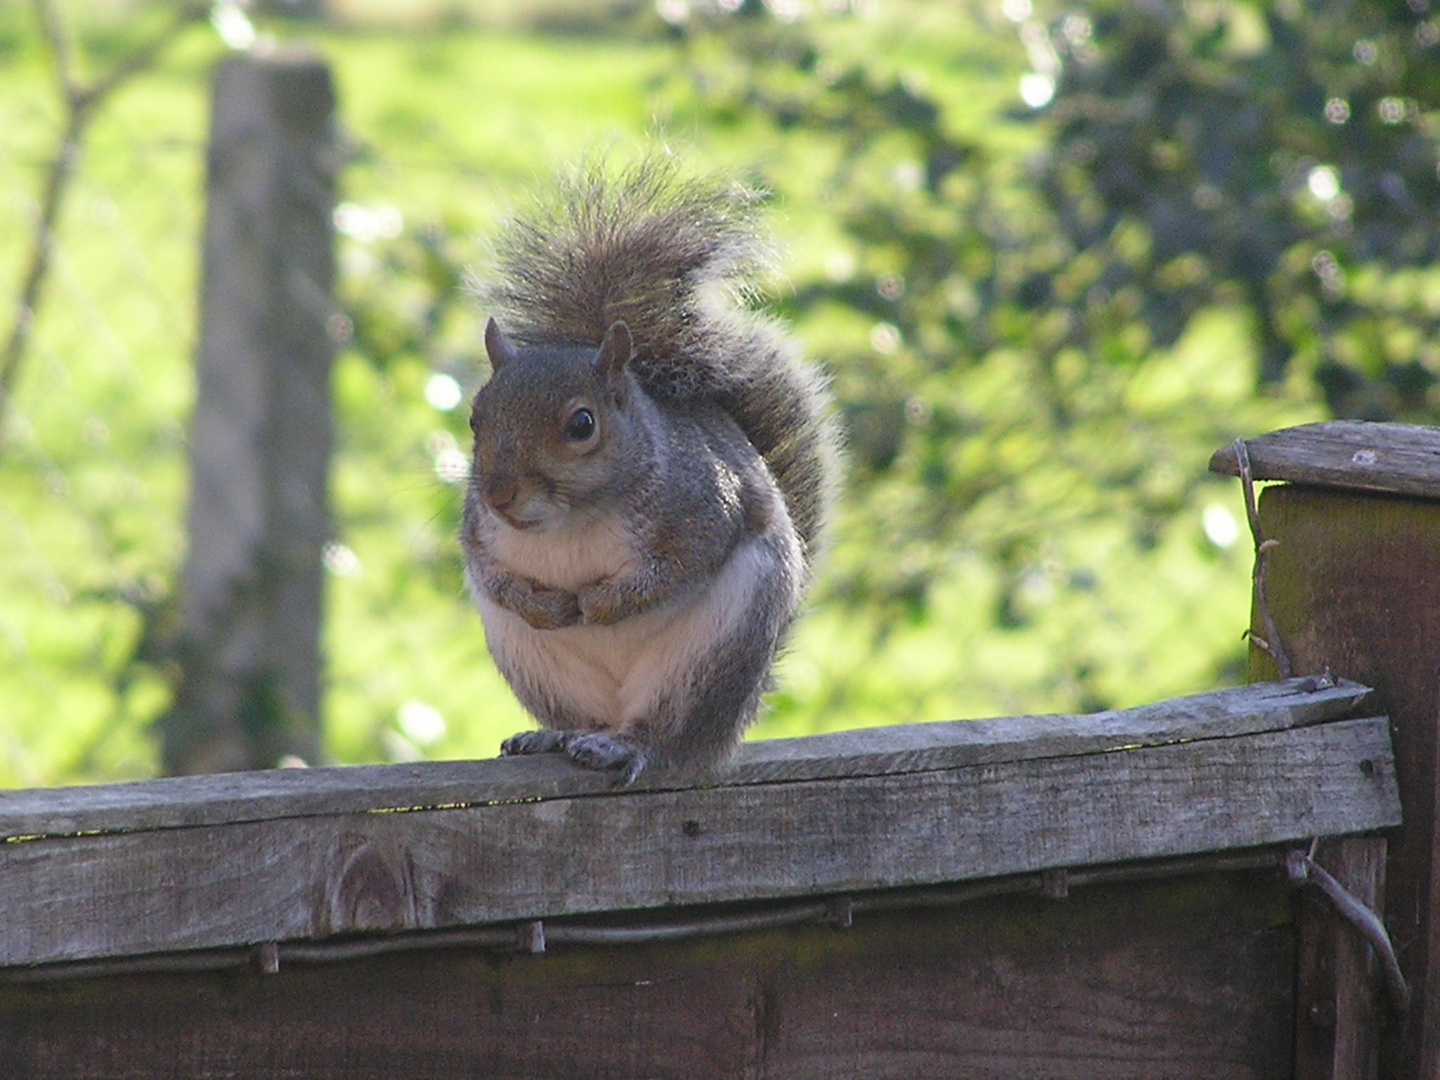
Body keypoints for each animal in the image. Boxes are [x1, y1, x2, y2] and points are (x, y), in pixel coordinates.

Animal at [460, 158, 840, 789]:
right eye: (474, 418)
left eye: (582, 424)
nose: (499, 495)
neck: (570, 520)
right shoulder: (477, 531)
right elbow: (490, 574)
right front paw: (548, 607)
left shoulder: (701, 507)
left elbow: (680, 566)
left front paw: (600, 604)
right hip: (533, 662)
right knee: (580, 715)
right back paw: (555, 735)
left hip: (713, 654)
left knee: (666, 735)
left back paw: (624, 746)